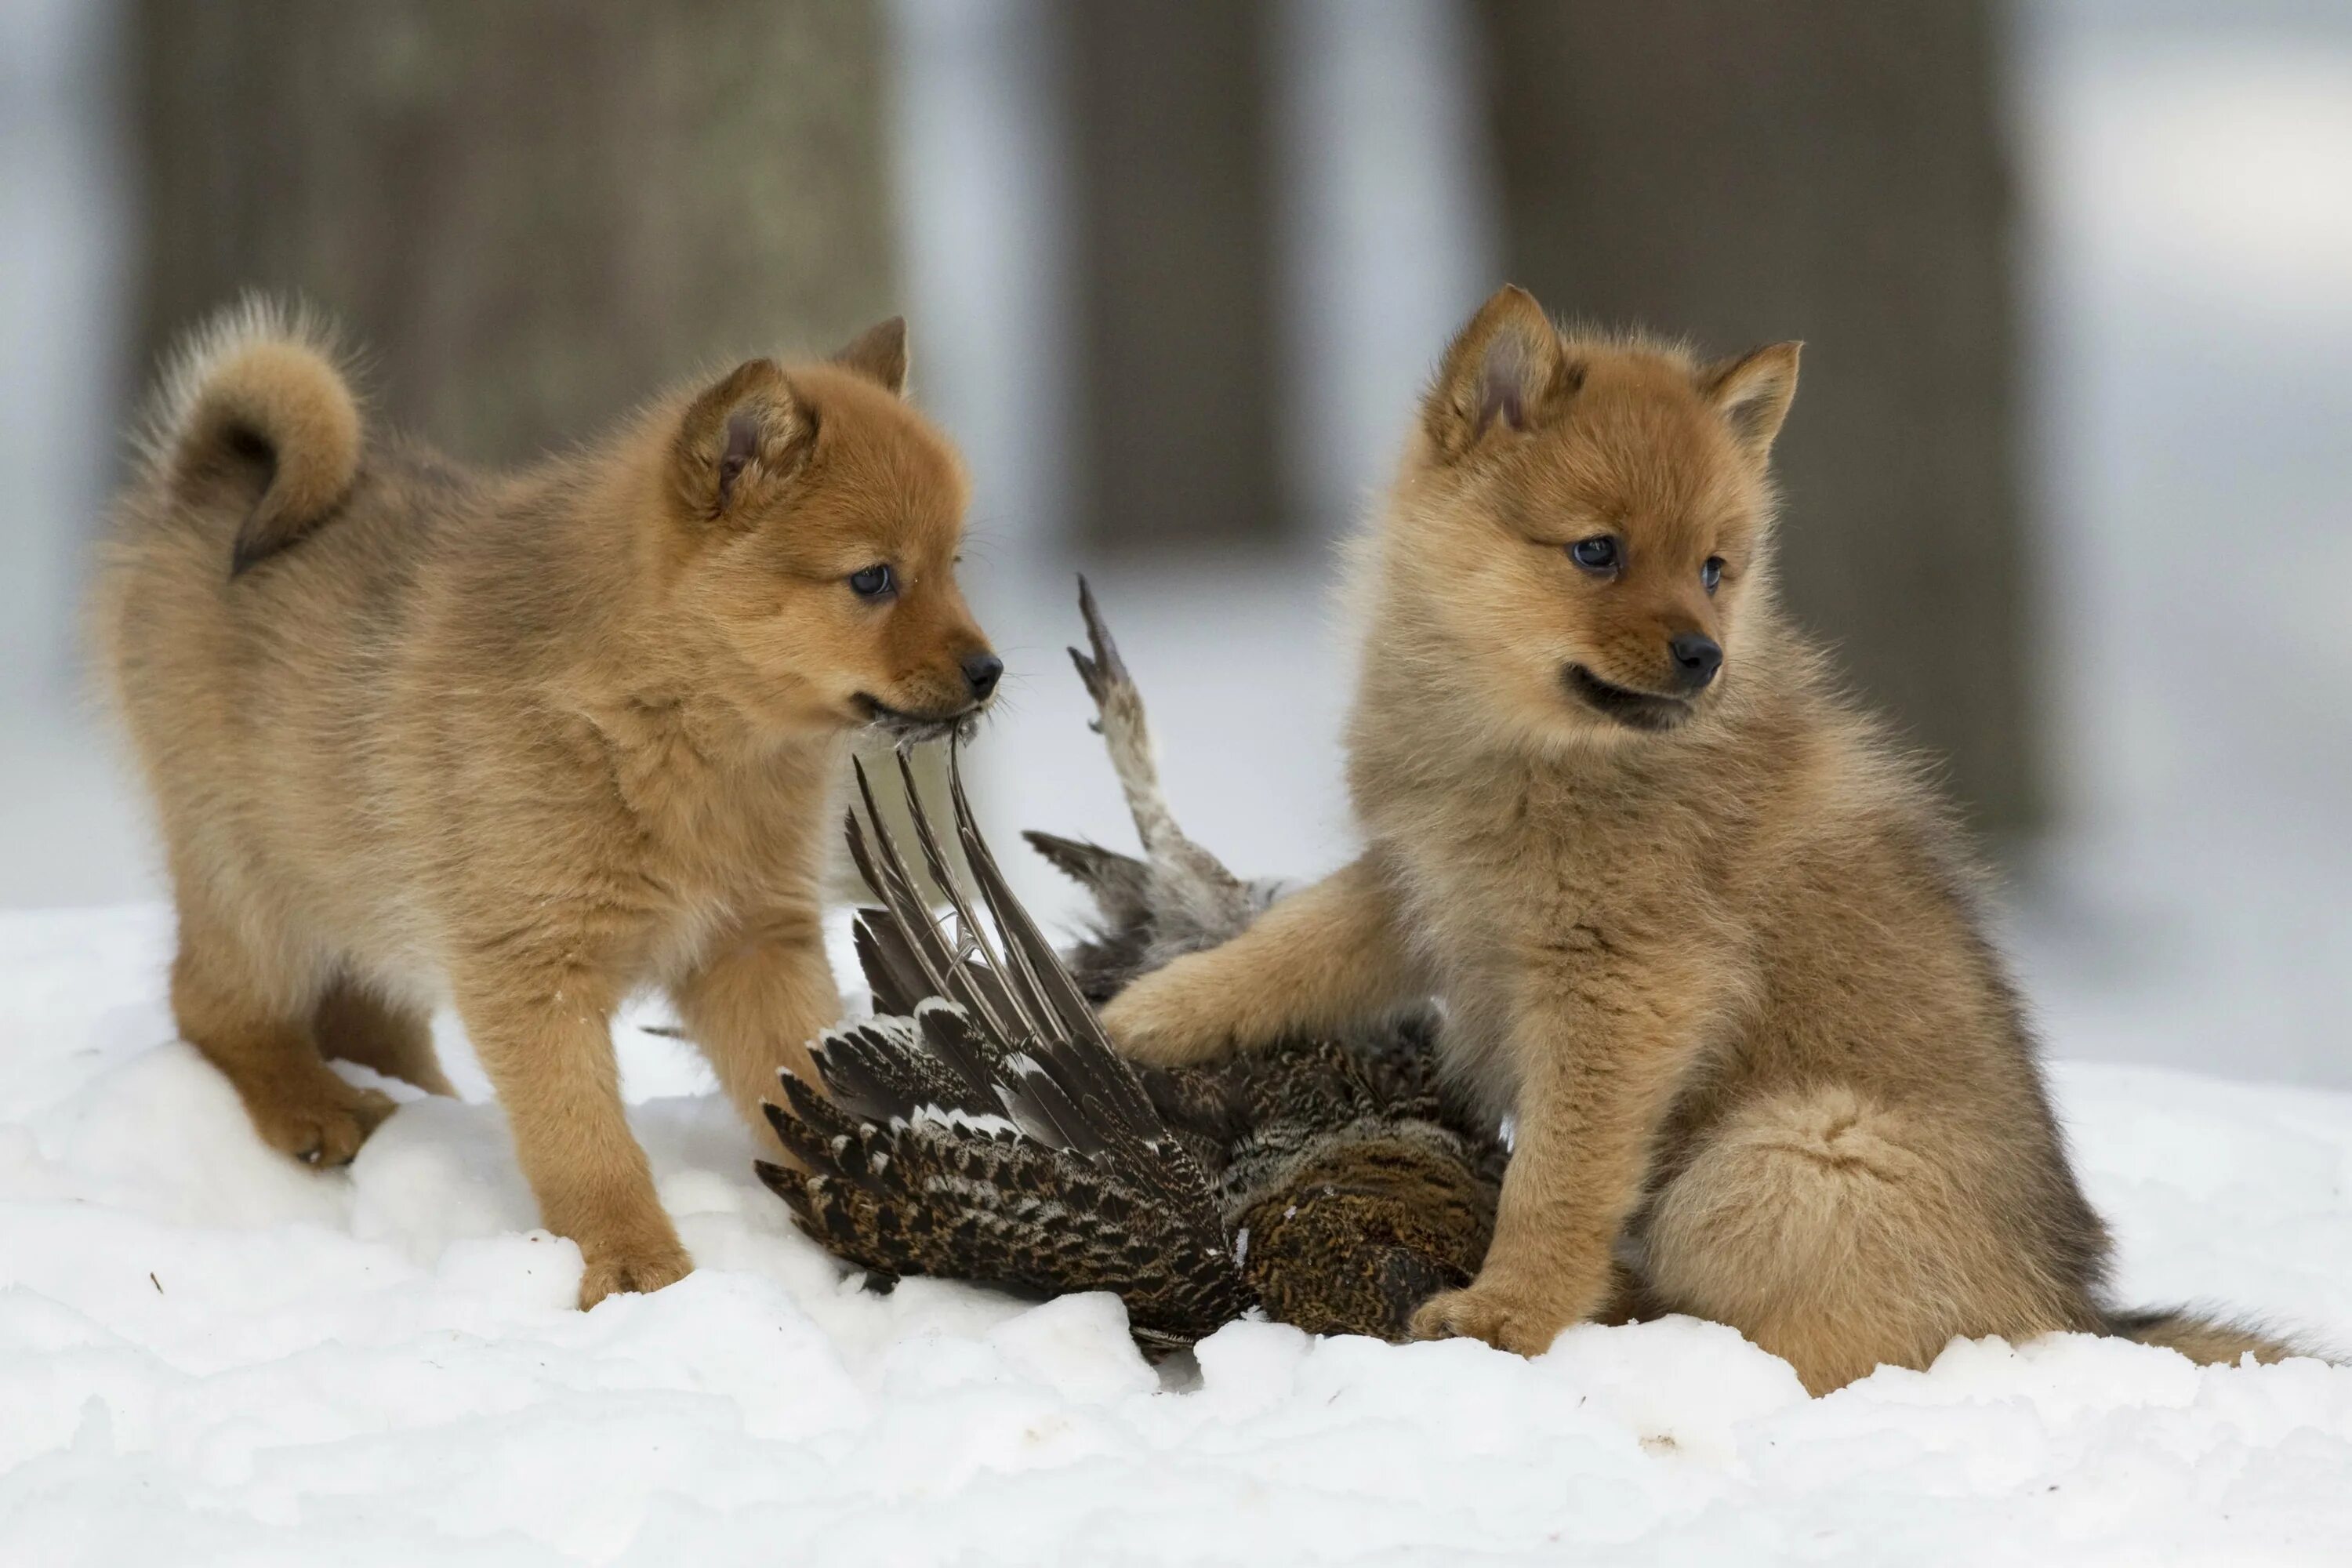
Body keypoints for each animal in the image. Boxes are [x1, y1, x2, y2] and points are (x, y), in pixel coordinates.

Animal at [89, 300, 993, 1307]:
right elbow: (583, 1142)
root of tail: (208, 478)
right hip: (256, 879)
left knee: (360, 1013)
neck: (669, 724)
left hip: (359, 883)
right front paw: (635, 1268)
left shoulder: (756, 945)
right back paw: (314, 1103)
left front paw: (871, 1206)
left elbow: (808, 1081)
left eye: (952, 563)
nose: (988, 672)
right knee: (214, 1003)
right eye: (873, 578)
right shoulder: (532, 969)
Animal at [1105, 288, 2296, 1392]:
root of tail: (2075, 1316)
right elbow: (1282, 952)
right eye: (1597, 552)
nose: (1702, 657)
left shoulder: (1626, 987)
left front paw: (1505, 1317)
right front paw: (1139, 1018)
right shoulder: (1418, 889)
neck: (1530, 756)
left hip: (1782, 1158)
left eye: (1716, 567)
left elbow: (1559, 1177)